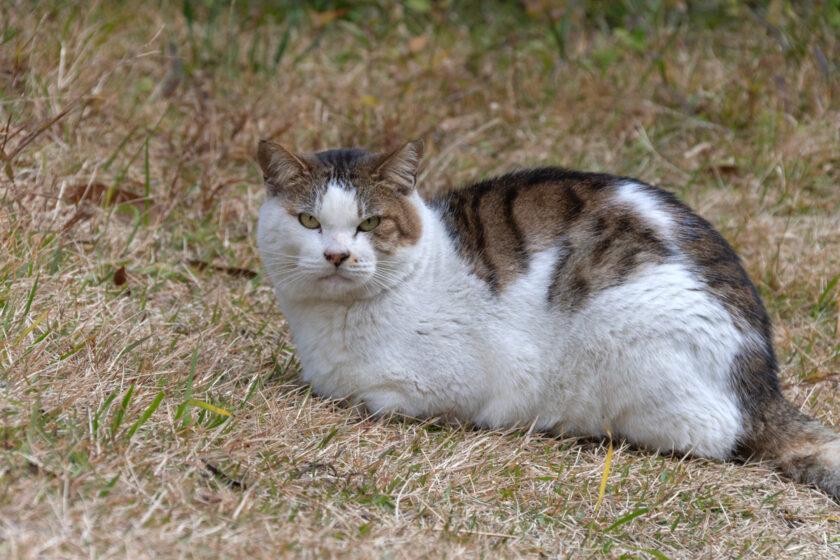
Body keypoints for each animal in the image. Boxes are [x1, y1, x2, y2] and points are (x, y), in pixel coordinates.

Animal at [256, 140, 840, 498]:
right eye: (309, 221)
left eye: (370, 224)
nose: (336, 256)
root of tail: (762, 384)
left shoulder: (453, 385)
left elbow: (374, 400)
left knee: (710, 435)